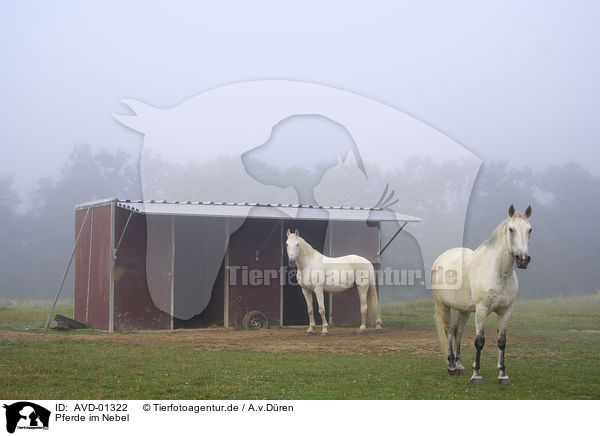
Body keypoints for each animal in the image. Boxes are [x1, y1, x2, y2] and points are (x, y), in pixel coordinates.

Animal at [434, 204, 532, 384]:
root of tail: (440, 259)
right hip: (442, 306)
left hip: (464, 310)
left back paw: (459, 365)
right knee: (449, 331)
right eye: (511, 229)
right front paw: (476, 375)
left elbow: (502, 341)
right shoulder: (481, 310)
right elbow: (479, 341)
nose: (523, 259)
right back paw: (451, 366)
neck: (499, 273)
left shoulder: (506, 311)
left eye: (530, 230)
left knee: (458, 332)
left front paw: (503, 374)